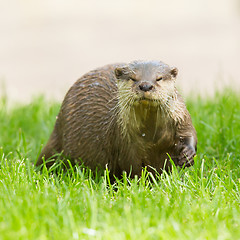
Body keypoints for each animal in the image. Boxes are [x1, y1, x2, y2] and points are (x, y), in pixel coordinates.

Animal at [36, 60, 197, 176]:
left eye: (159, 78)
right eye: (133, 78)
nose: (145, 86)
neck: (152, 135)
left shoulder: (181, 117)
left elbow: (189, 134)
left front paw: (187, 155)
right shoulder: (124, 141)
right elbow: (131, 167)